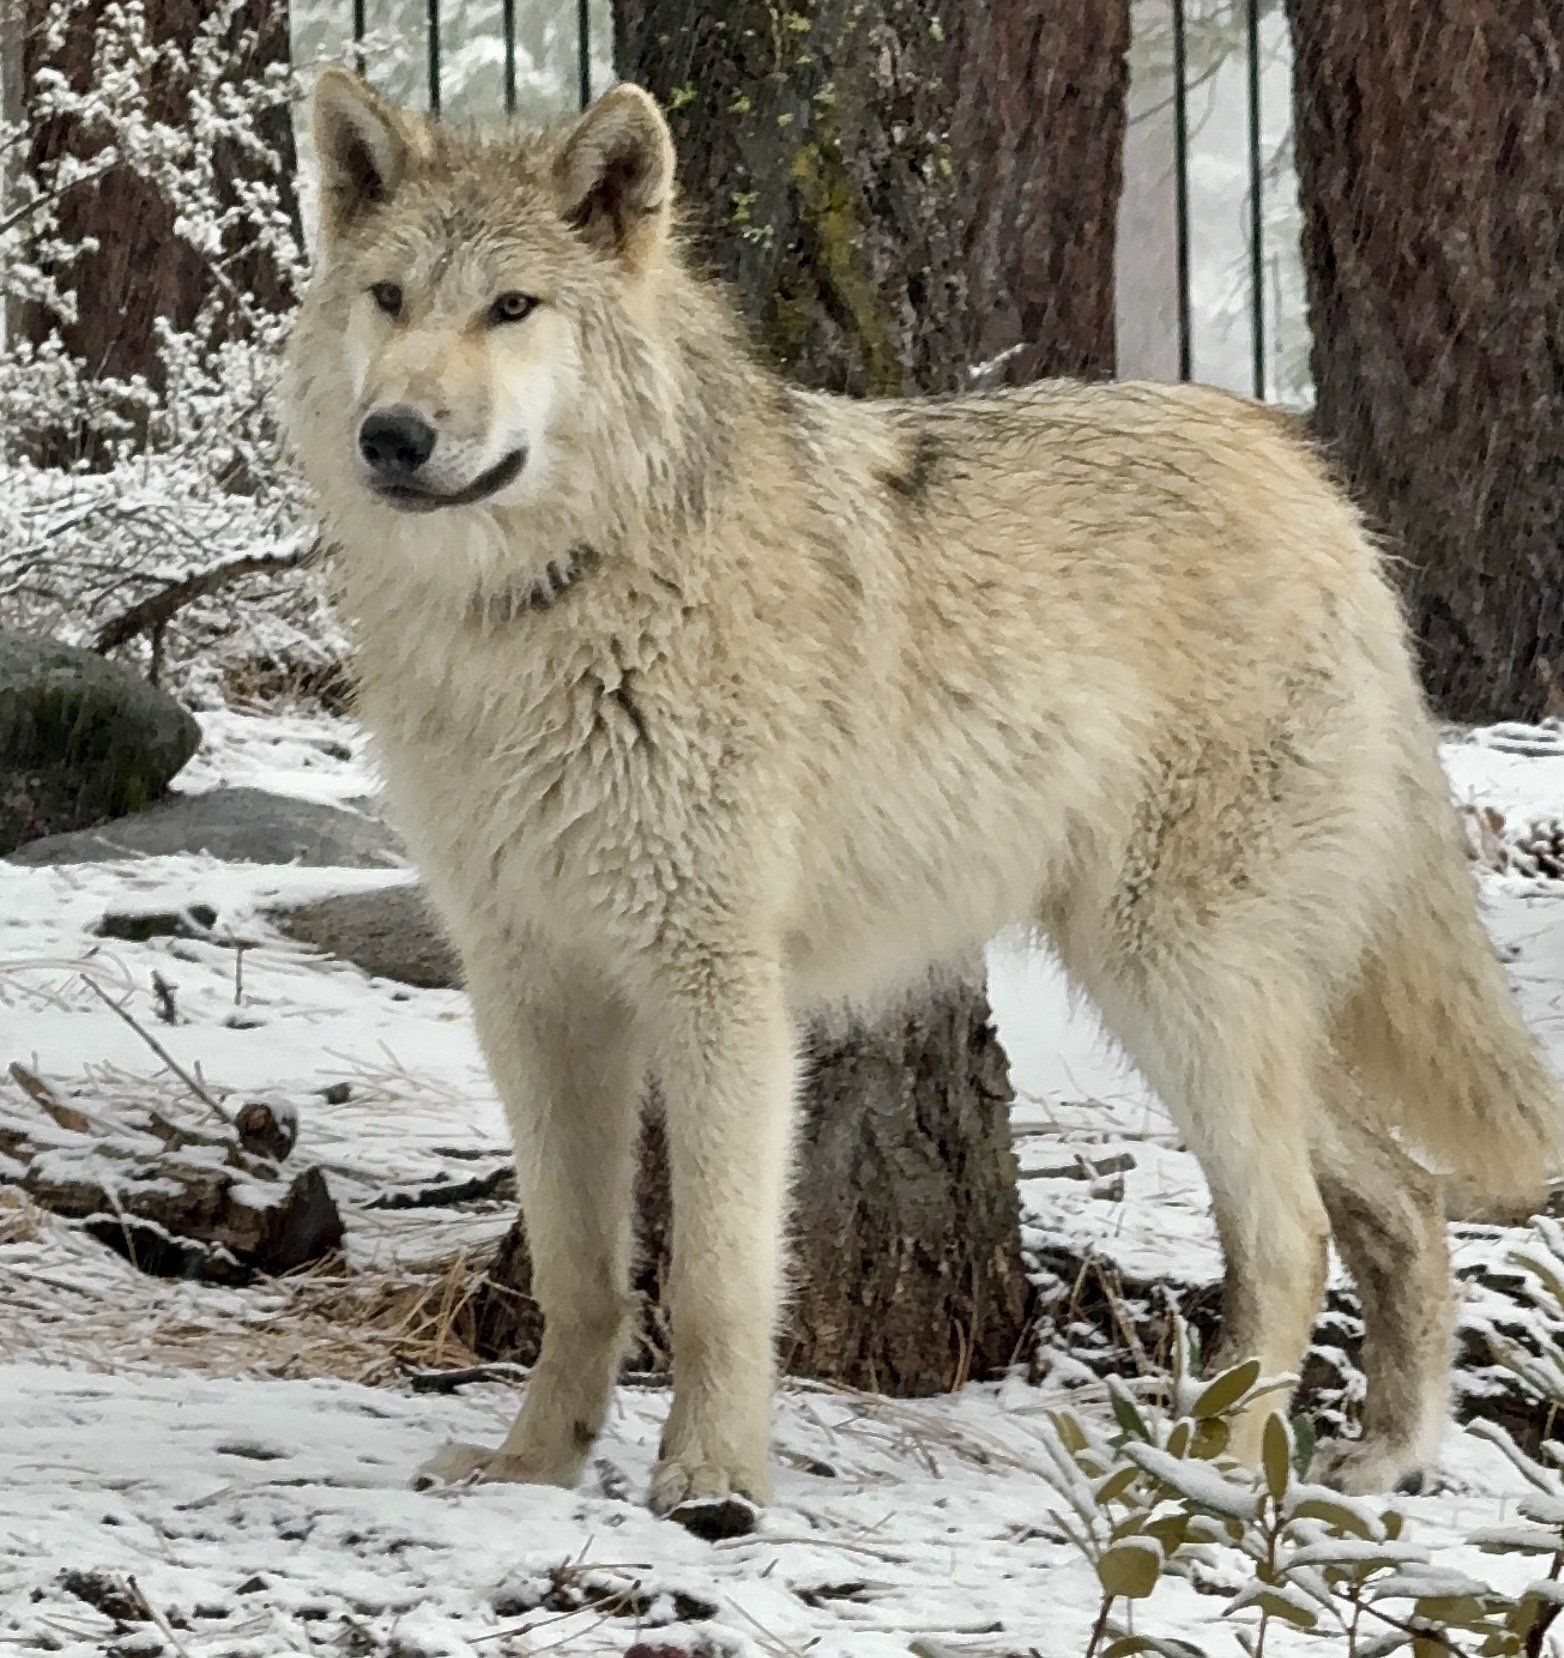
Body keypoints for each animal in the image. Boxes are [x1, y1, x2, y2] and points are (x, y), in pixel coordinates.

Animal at [285, 67, 1560, 1532]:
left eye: (511, 308)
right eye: (391, 298)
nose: (395, 436)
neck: (548, 609)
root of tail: (1315, 485)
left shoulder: (718, 984)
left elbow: (715, 1277)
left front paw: (714, 1484)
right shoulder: (531, 990)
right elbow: (581, 1273)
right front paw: (533, 1467)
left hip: (1173, 980)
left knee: (1290, 1233)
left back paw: (1212, 1479)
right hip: (1202, 993)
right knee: (1402, 1199)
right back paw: (1385, 1456)